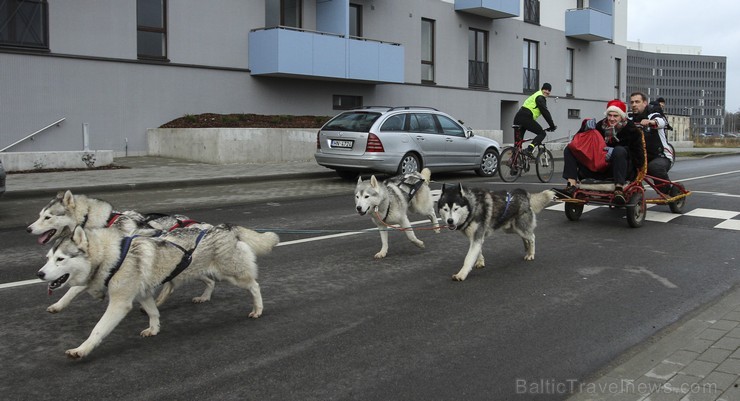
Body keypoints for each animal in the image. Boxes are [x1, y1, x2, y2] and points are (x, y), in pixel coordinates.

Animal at [27, 191, 215, 312]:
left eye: (48, 217)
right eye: (40, 215)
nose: (28, 229)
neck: (101, 222)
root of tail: (203, 225)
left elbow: (74, 288)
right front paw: (60, 304)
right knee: (202, 281)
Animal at [35, 223, 278, 358]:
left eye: (60, 259)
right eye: (48, 258)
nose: (39, 274)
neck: (113, 258)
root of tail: (226, 227)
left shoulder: (119, 303)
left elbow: (97, 330)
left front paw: (81, 350)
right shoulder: (142, 294)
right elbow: (153, 312)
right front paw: (154, 329)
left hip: (233, 275)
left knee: (254, 285)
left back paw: (258, 309)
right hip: (196, 272)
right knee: (211, 283)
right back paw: (204, 297)